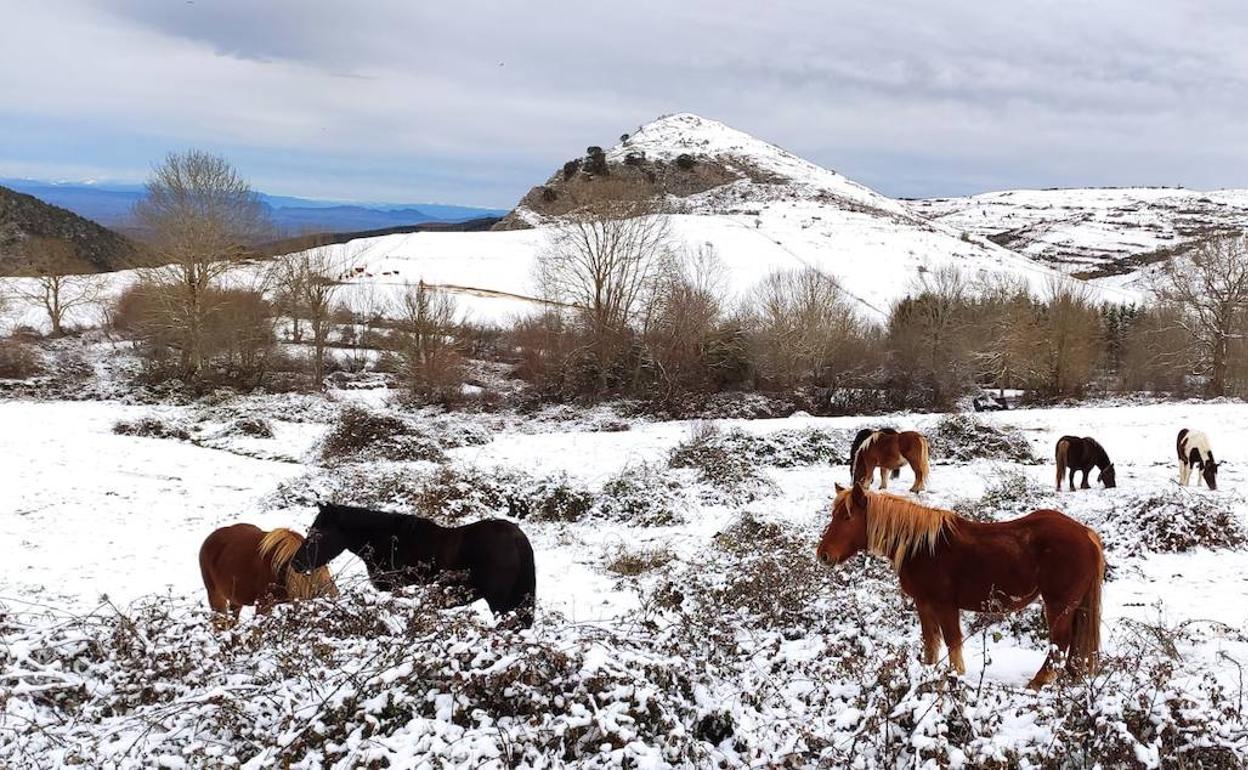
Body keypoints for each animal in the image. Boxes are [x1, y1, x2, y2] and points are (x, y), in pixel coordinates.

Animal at [818, 484, 1103, 688]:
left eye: (847, 517)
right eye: (834, 515)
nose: (823, 555)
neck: (921, 546)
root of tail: (1085, 533)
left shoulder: (945, 605)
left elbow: (952, 642)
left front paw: (955, 676)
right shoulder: (924, 603)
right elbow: (931, 643)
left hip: (1058, 604)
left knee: (1060, 642)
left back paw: (1037, 683)